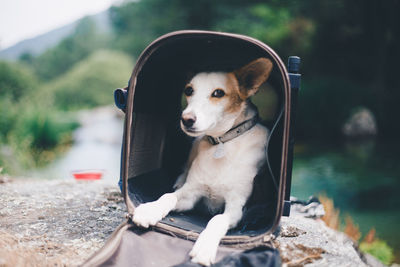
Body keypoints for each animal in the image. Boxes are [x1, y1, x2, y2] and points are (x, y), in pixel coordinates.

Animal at [133, 58, 274, 266]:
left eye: (218, 93)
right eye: (189, 90)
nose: (186, 119)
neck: (222, 143)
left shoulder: (235, 207)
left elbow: (216, 220)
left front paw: (205, 246)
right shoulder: (191, 195)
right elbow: (167, 197)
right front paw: (150, 210)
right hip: (194, 143)